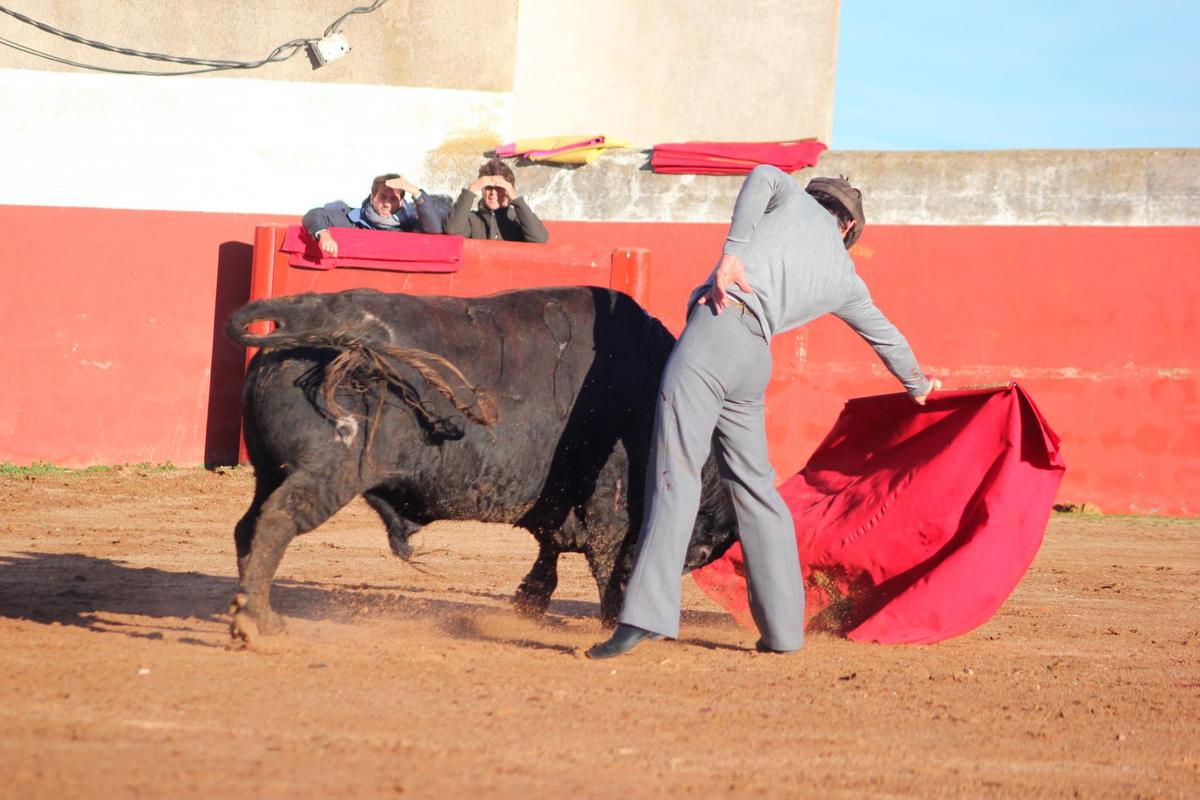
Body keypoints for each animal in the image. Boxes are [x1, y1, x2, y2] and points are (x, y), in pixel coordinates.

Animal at [220, 287, 734, 642]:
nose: (696, 559)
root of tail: (306, 316)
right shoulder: (609, 505)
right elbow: (608, 562)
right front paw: (614, 623)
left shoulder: (559, 506)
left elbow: (550, 552)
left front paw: (529, 602)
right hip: (329, 471)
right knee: (278, 520)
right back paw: (259, 622)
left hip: (270, 471)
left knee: (249, 526)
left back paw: (247, 611)